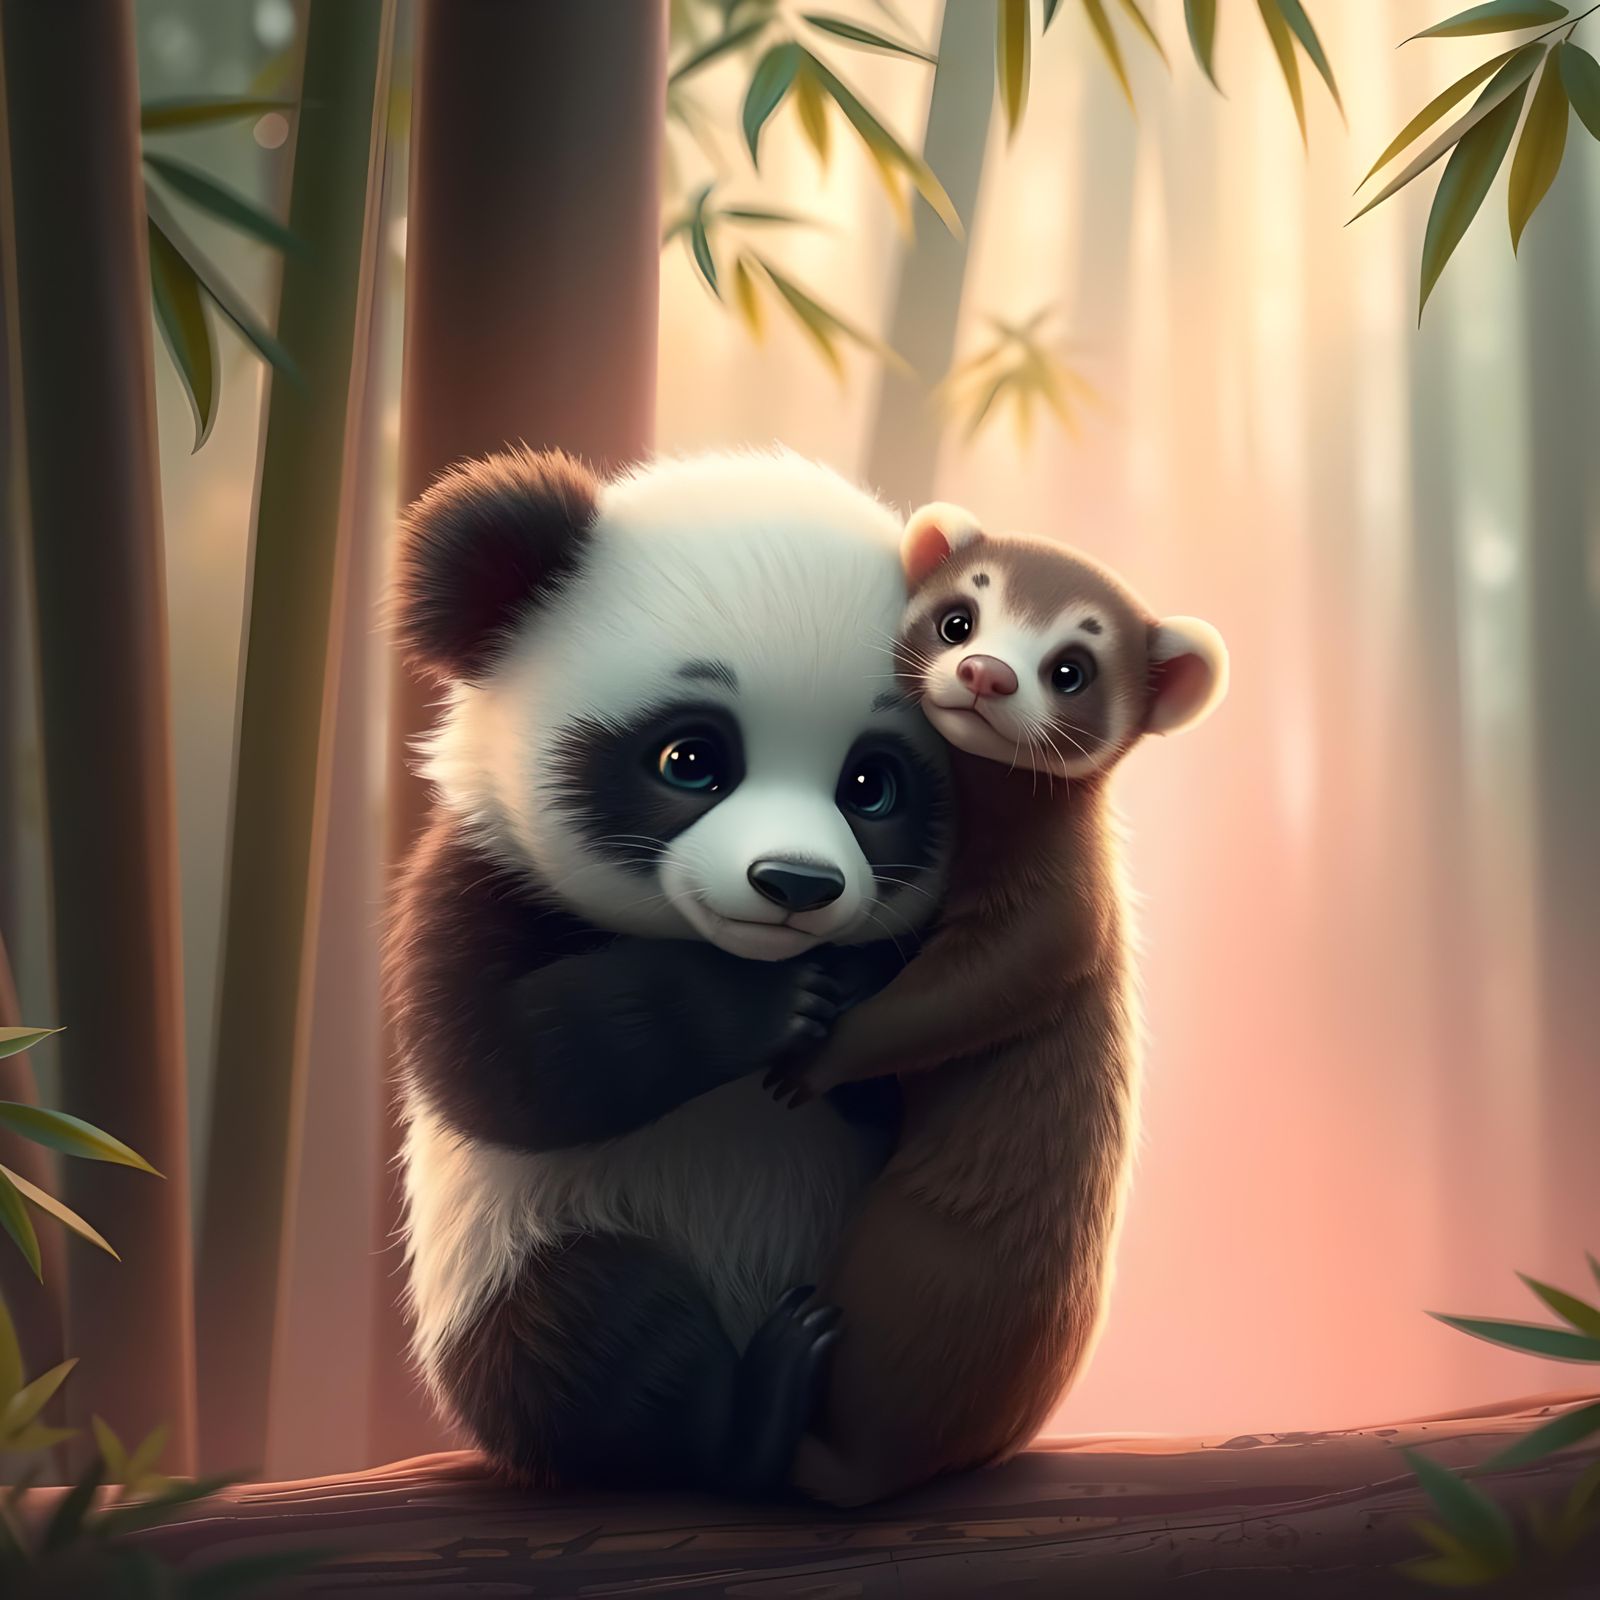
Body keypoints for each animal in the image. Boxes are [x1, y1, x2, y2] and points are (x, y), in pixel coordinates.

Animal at [386, 446, 953, 1495]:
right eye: (690, 759)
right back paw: (753, 1414)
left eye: (872, 784)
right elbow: (499, 1065)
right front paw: (764, 1004)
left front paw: (852, 991)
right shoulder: (478, 874)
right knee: (594, 1335)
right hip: (515, 1249)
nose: (796, 883)